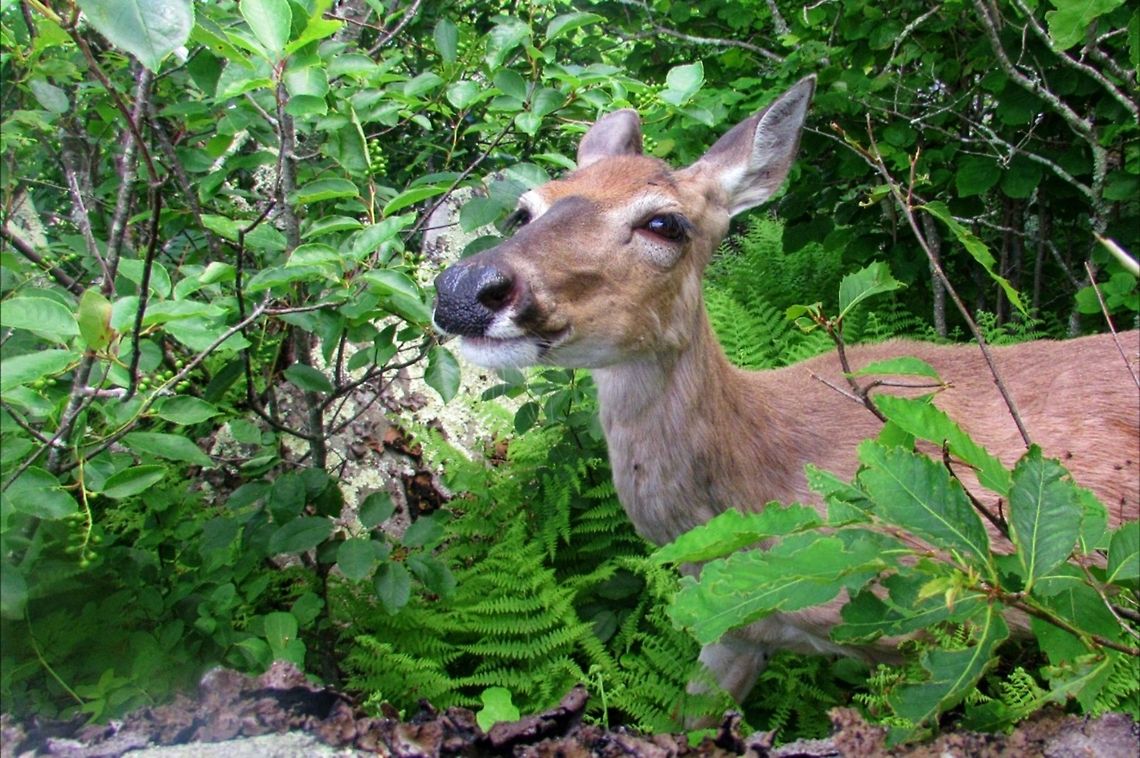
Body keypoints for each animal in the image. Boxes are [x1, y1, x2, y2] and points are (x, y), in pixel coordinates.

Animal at [431, 76, 1140, 709]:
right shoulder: (731, 626)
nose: (465, 288)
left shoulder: (936, 622)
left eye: (666, 223)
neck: (759, 474)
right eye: (525, 208)